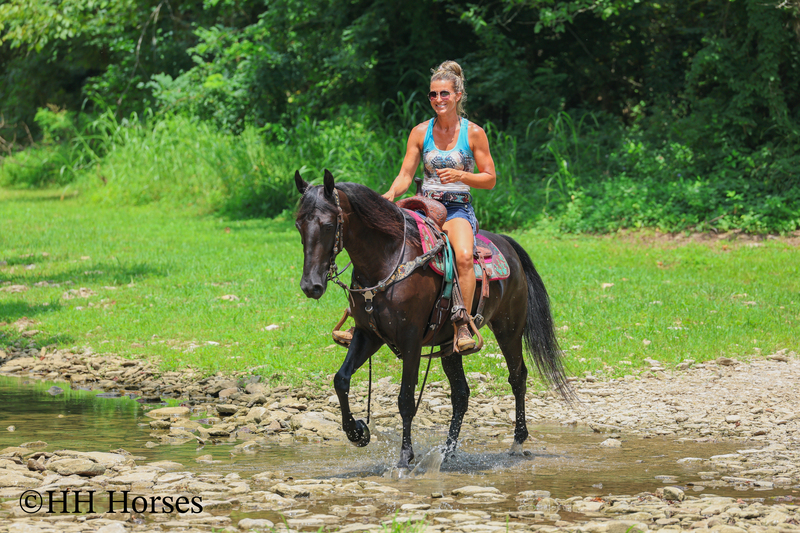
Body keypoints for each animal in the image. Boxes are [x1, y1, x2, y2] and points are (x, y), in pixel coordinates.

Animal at [294, 169, 570, 469]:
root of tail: (507, 244)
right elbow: (341, 379)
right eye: (298, 225)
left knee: (517, 377)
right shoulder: (368, 335)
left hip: (509, 329)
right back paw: (447, 453)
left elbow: (405, 398)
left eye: (328, 225)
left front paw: (405, 458)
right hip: (450, 344)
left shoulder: (411, 339)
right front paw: (357, 432)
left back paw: (518, 441)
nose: (311, 285)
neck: (387, 260)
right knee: (461, 394)